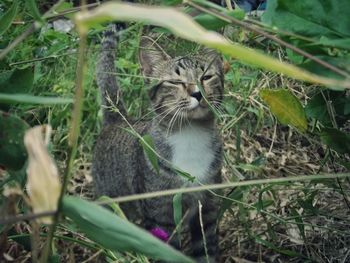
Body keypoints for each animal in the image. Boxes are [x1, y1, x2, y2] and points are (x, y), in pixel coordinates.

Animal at [92, 23, 224, 262]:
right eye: (175, 81)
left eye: (207, 77)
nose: (198, 93)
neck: (190, 134)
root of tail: (118, 120)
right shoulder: (160, 218)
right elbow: (167, 252)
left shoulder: (207, 210)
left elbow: (206, 250)